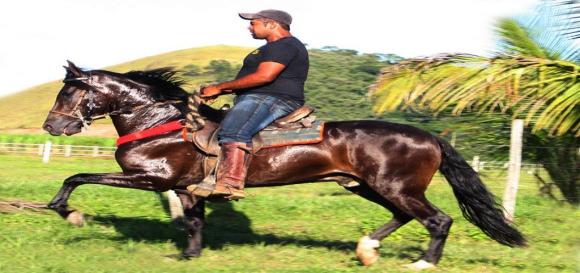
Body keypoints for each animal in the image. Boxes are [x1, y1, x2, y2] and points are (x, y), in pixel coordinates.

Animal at [42, 61, 524, 268]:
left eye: (69, 92)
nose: (51, 125)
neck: (160, 122)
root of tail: (432, 137)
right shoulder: (184, 187)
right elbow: (195, 222)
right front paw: (190, 255)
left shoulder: (149, 178)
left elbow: (77, 175)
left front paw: (68, 211)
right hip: (366, 185)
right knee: (405, 217)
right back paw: (367, 248)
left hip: (395, 186)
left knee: (438, 220)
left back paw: (423, 263)